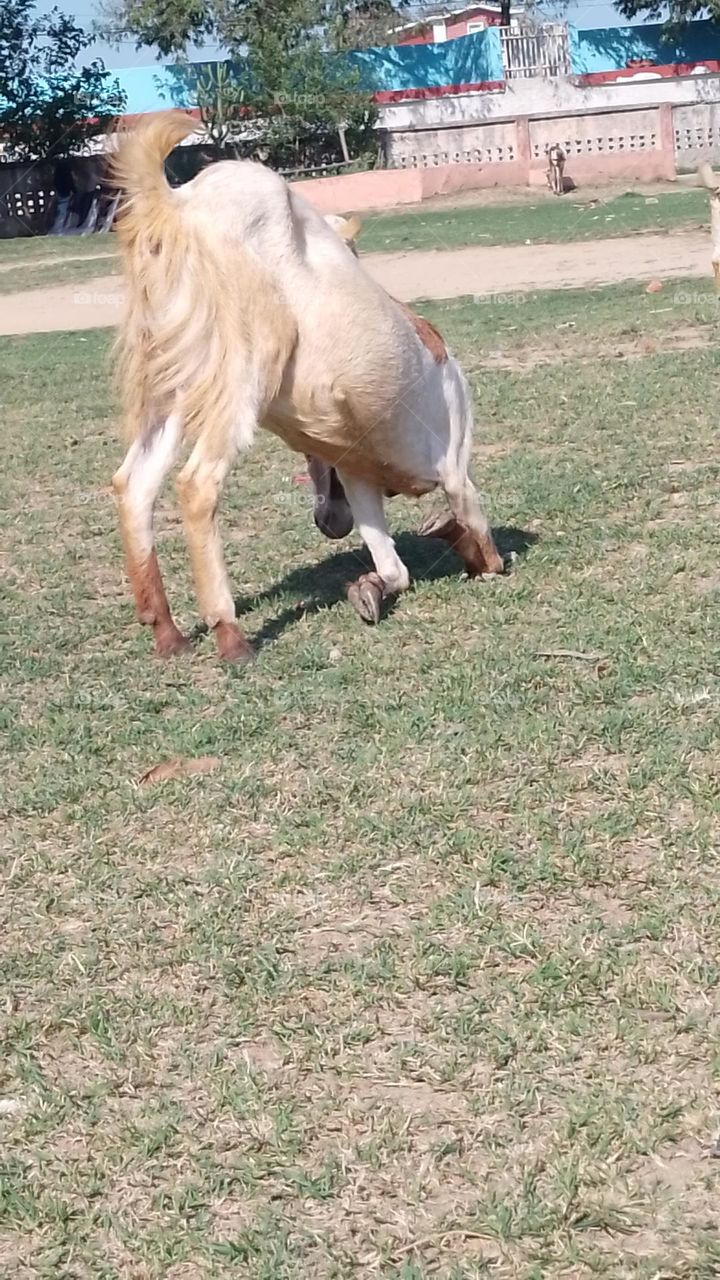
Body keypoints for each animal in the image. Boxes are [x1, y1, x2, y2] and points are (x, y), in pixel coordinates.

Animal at [111, 112, 505, 659]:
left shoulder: (356, 477)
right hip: (247, 364)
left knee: (134, 483)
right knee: (197, 483)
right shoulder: (454, 469)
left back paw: (167, 631)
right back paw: (230, 635)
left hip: (172, 385)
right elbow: (484, 542)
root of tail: (178, 203)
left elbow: (393, 568)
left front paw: (370, 589)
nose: (328, 524)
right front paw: (469, 551)